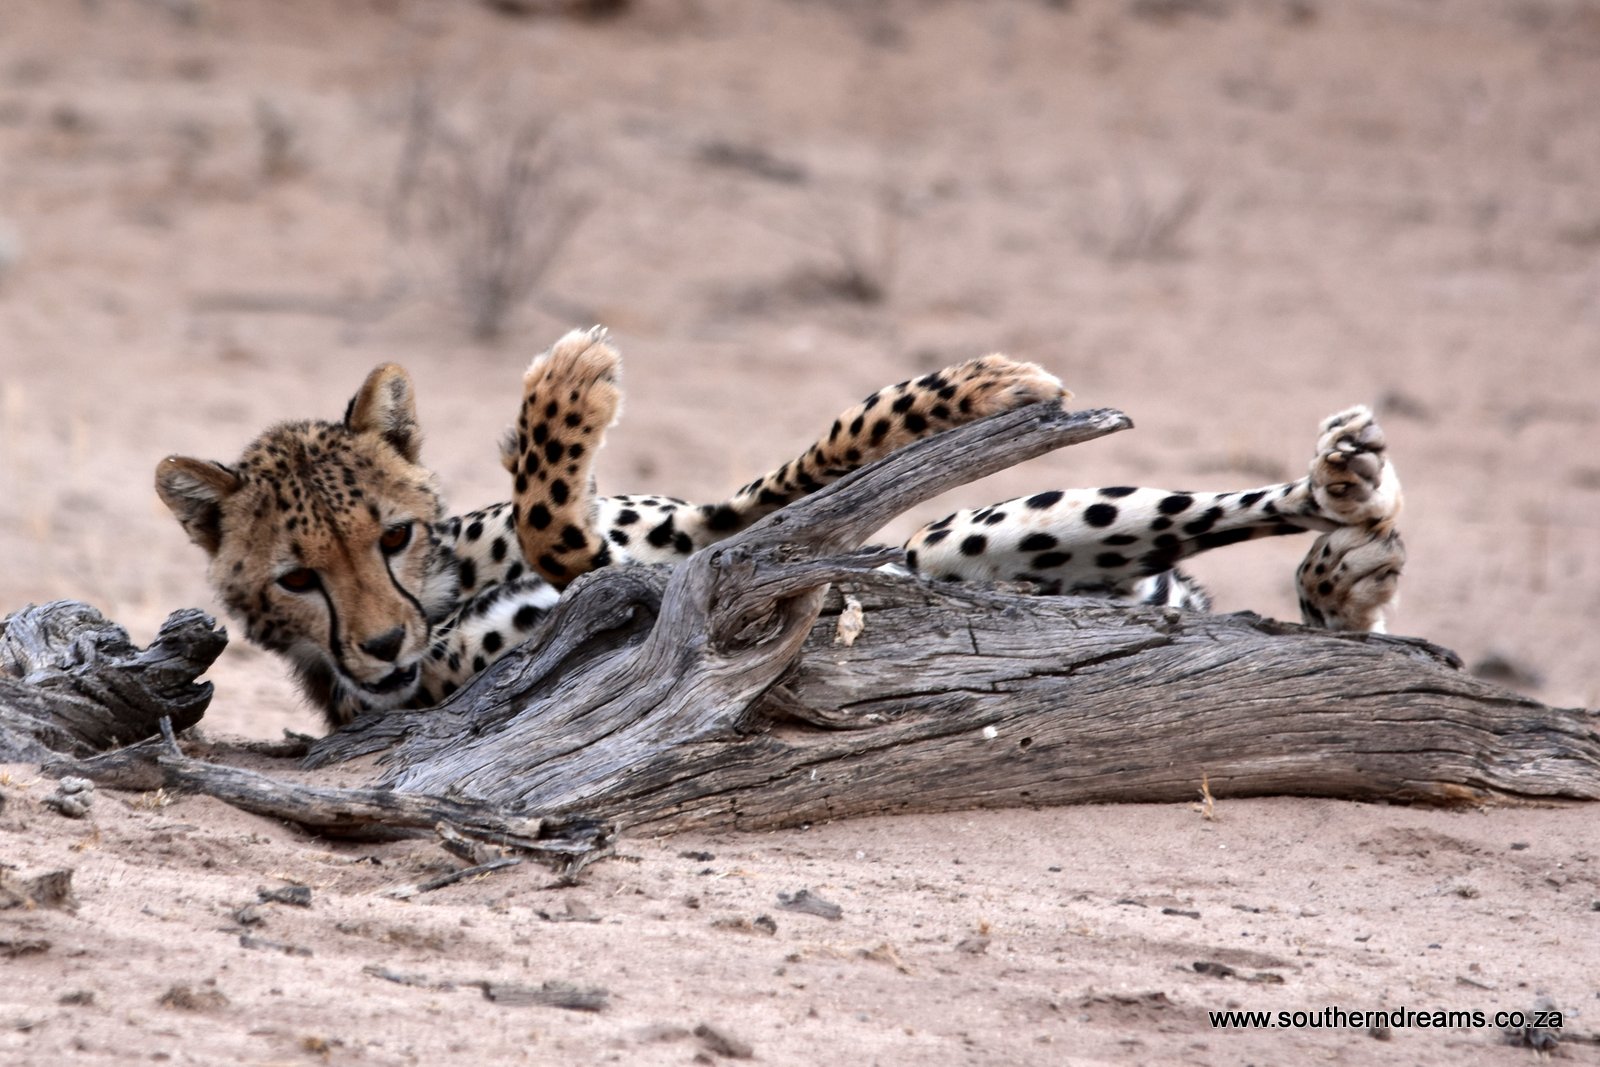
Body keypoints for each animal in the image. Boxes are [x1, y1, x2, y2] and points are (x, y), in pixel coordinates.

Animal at [156, 326, 1403, 729]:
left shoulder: (691, 539)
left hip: (986, 533)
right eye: (295, 577)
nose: (380, 648)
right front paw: (570, 391)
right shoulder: (649, 590)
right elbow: (563, 526)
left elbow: (806, 460)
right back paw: (1349, 552)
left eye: (390, 536)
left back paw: (1347, 512)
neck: (460, 571)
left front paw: (980, 386)